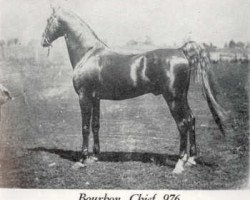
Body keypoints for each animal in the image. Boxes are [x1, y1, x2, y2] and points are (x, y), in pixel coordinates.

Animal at [41, 5, 227, 173]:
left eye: (49, 20)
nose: (43, 41)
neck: (88, 54)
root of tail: (181, 51)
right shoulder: (95, 98)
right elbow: (95, 125)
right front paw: (94, 156)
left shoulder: (84, 97)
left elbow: (85, 127)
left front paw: (81, 160)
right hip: (182, 97)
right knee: (191, 119)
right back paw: (191, 159)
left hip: (173, 98)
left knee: (182, 124)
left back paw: (180, 164)